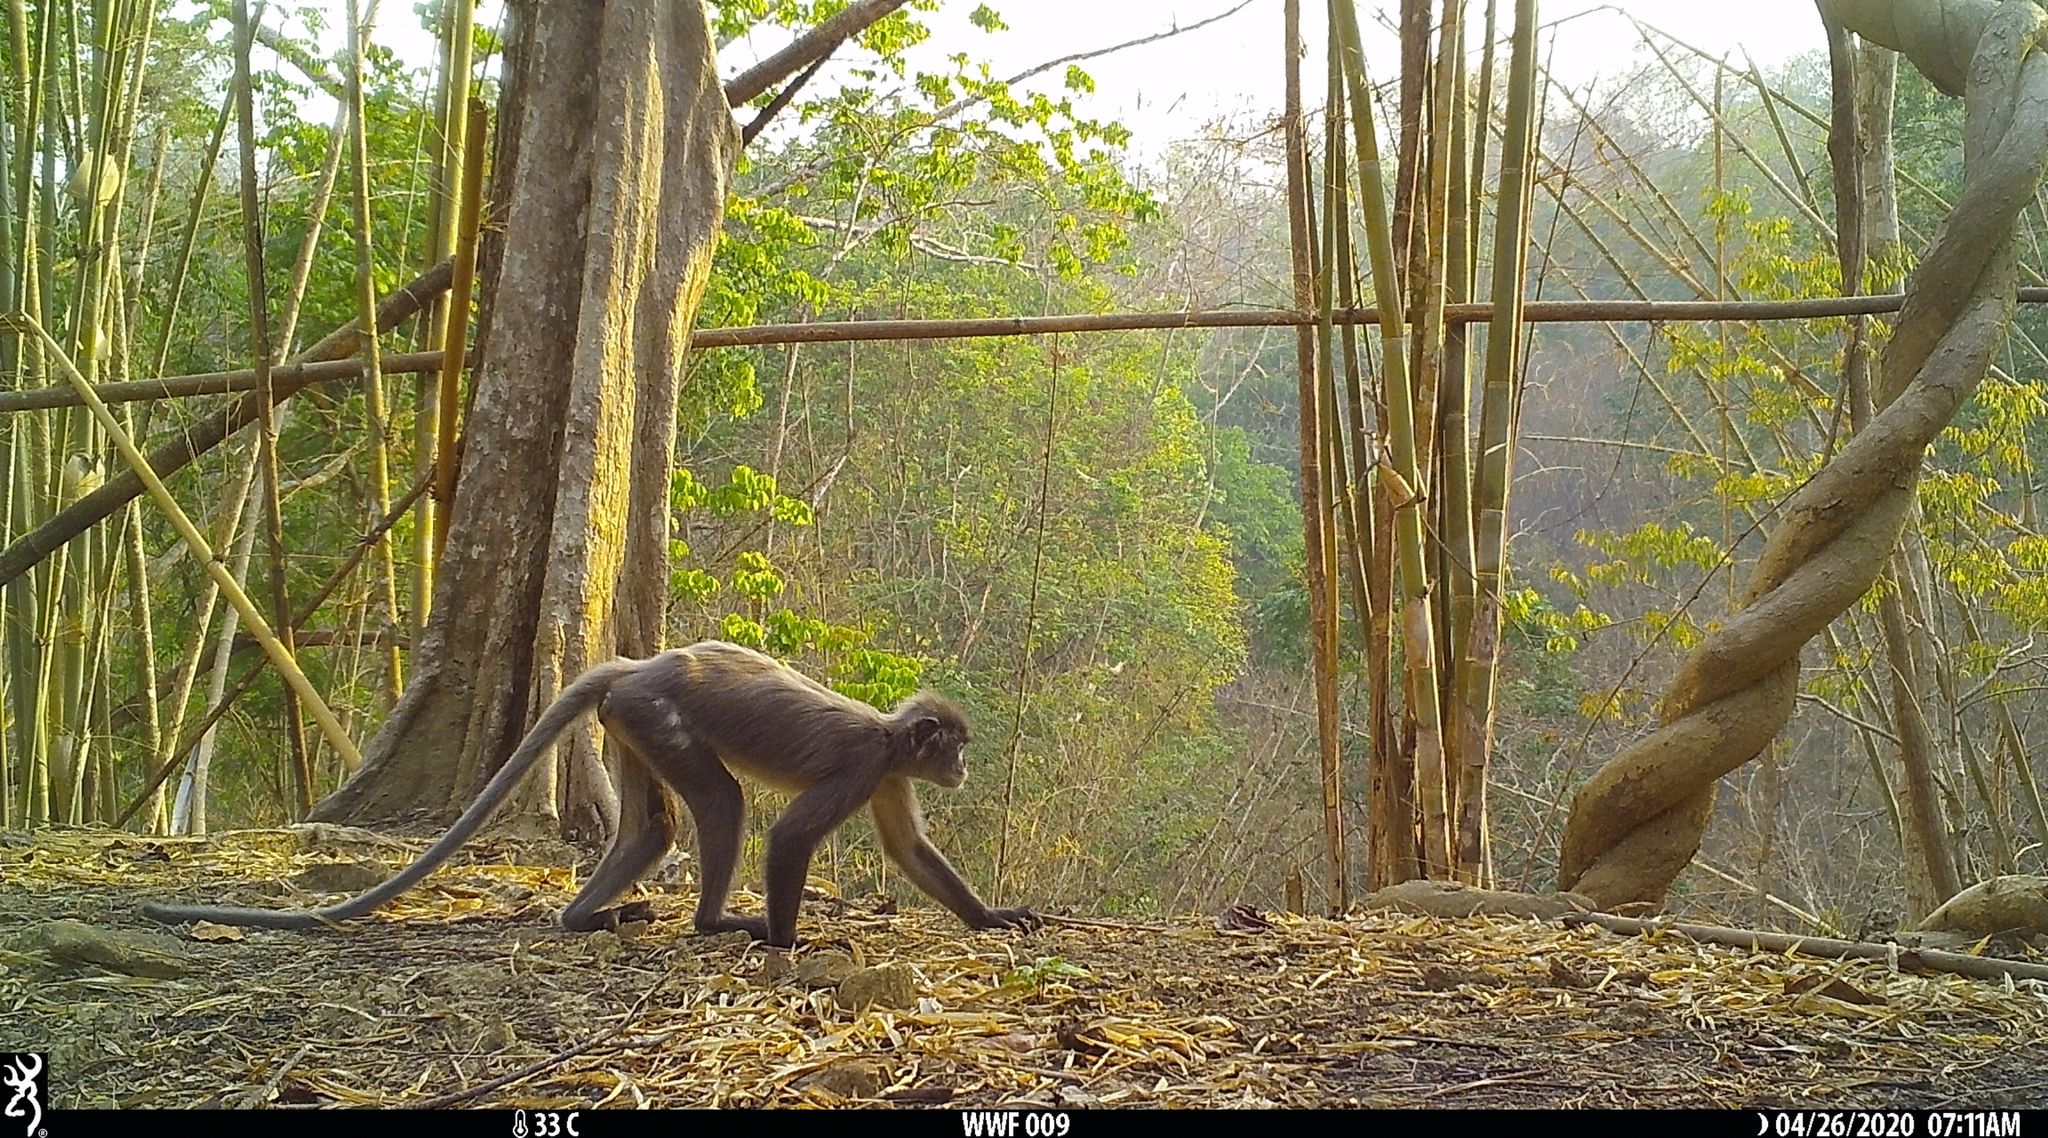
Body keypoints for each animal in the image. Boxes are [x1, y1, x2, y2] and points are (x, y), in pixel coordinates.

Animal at [140, 641, 1039, 948]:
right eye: (957, 745)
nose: (964, 768)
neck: (890, 737)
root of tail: (643, 665)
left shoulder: (886, 773)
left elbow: (910, 851)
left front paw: (992, 917)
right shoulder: (863, 763)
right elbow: (788, 839)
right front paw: (789, 942)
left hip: (634, 722)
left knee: (653, 830)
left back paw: (589, 917)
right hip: (658, 714)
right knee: (721, 807)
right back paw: (712, 923)